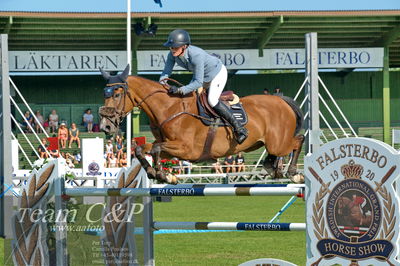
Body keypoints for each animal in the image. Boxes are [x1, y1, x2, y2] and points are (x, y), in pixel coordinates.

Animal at [99, 65, 304, 184]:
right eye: (105, 94)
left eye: (116, 94)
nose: (105, 127)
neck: (169, 108)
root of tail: (281, 100)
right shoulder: (170, 148)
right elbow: (142, 149)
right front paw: (158, 173)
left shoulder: (186, 149)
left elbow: (155, 148)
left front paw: (163, 175)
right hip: (263, 143)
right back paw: (272, 167)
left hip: (278, 143)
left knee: (298, 140)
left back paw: (293, 173)